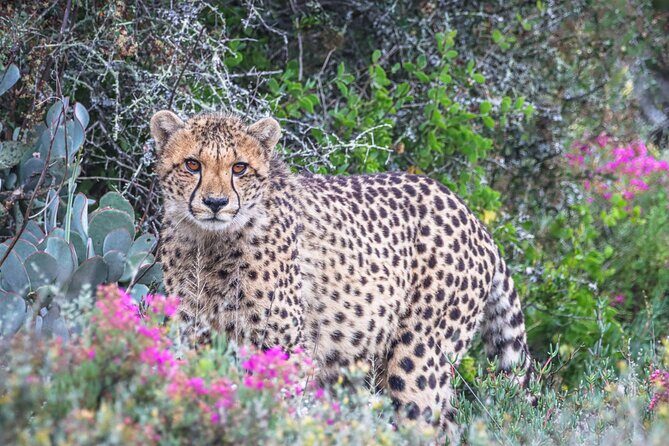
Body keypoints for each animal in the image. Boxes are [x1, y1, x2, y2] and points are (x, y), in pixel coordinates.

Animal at [151, 110, 533, 442]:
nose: (215, 203)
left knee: (425, 423)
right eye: (192, 164)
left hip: (418, 358)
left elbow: (278, 409)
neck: (209, 243)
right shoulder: (194, 334)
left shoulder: (283, 344)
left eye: (239, 167)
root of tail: (470, 215)